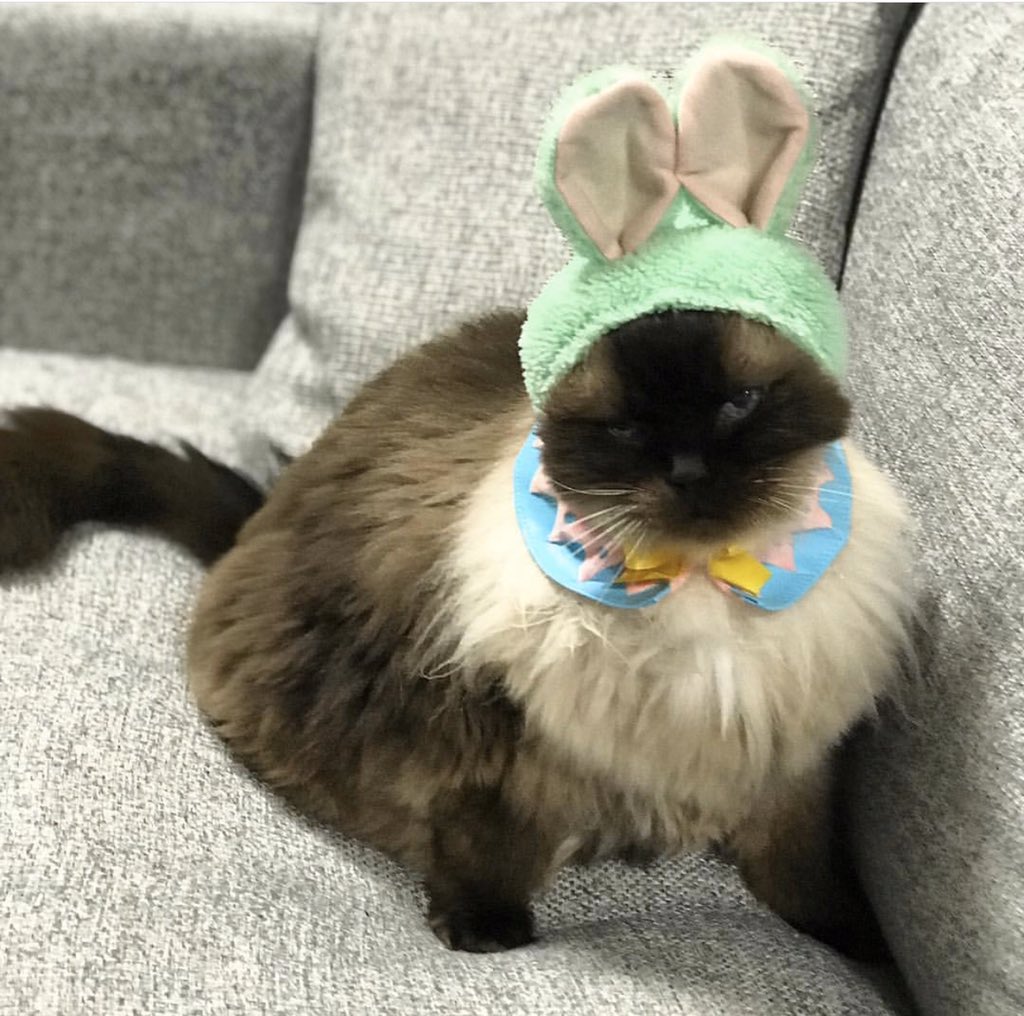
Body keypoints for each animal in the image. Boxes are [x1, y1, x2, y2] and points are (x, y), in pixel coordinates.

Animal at [0, 307, 914, 956]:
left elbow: (803, 869)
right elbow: (488, 844)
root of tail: (257, 518)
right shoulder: (501, 743)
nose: (688, 473)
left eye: (737, 405)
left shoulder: (787, 753)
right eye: (627, 430)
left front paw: (860, 942)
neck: (696, 590)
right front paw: (486, 934)